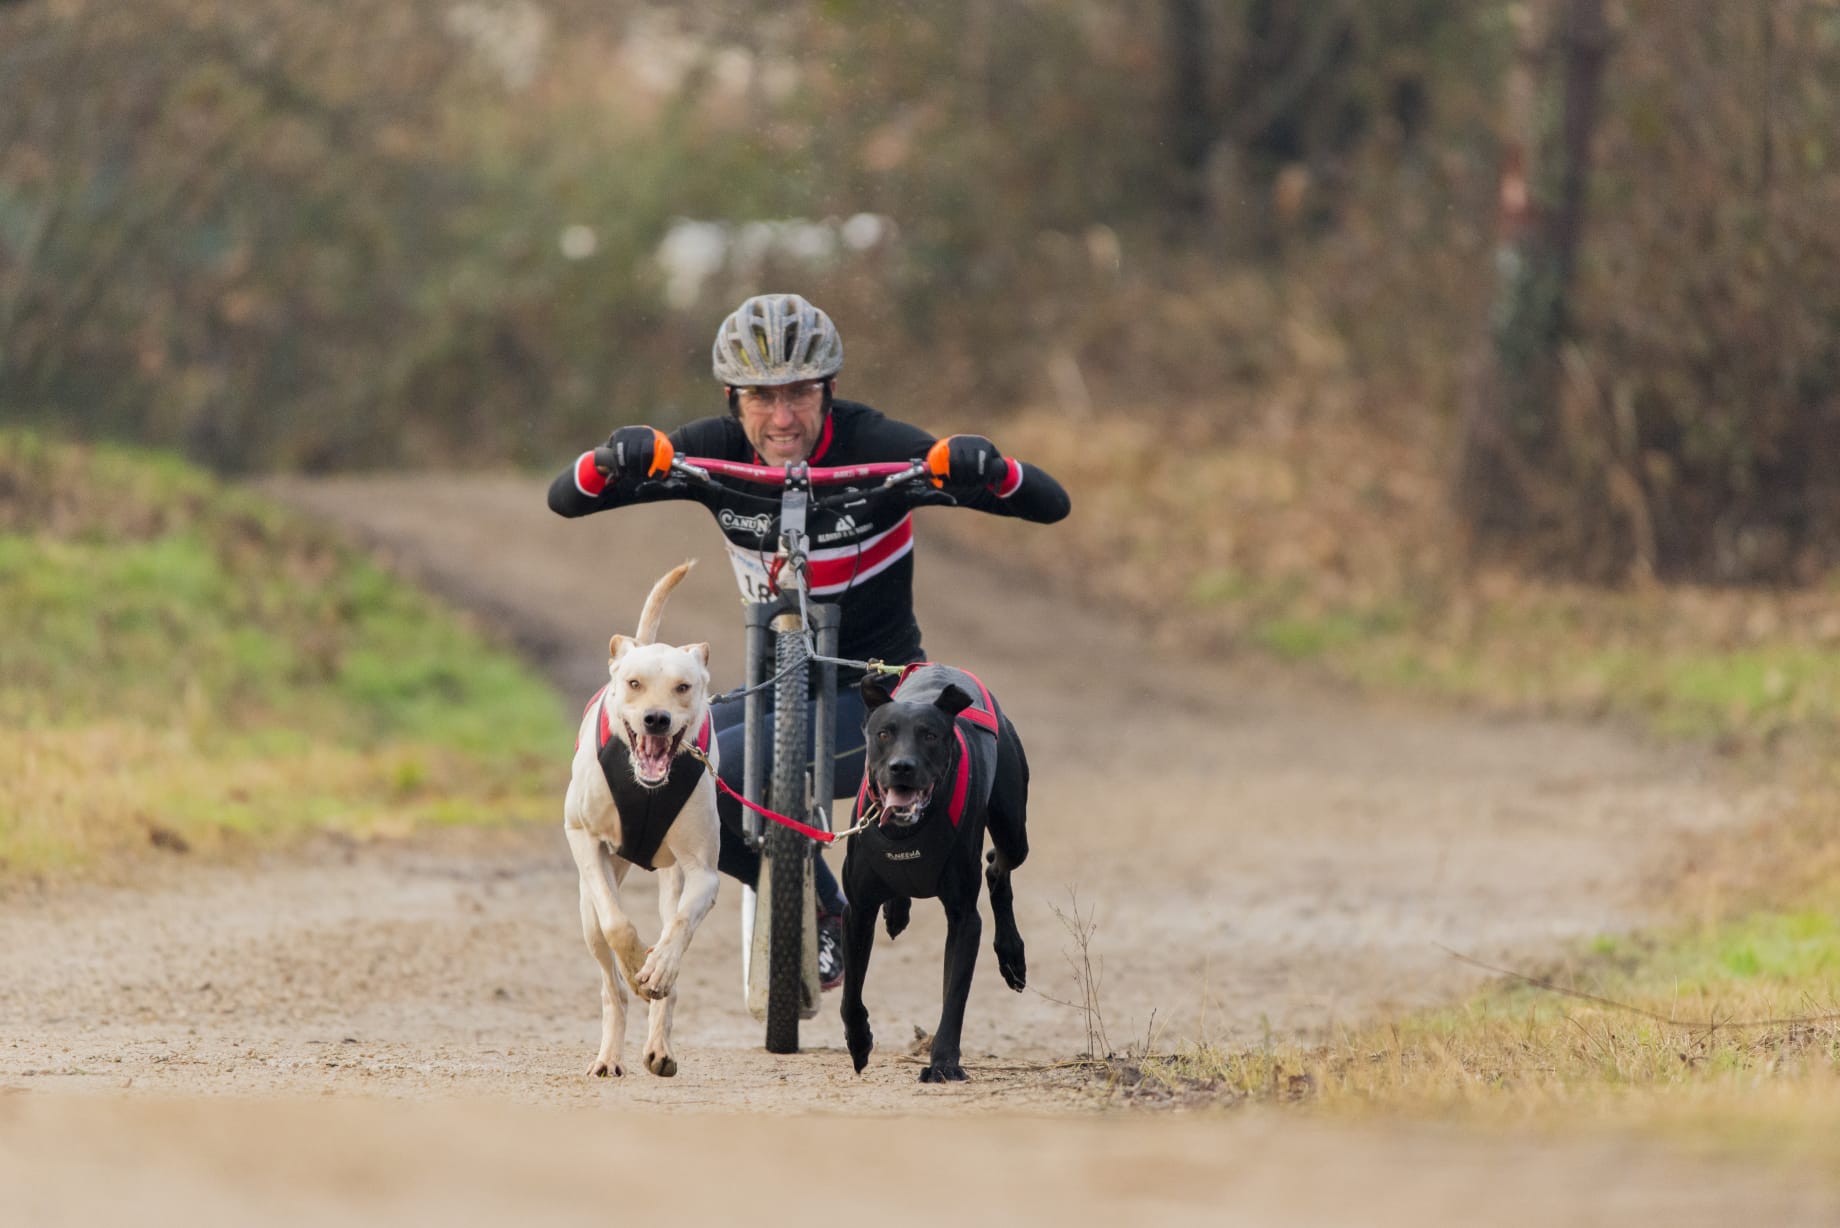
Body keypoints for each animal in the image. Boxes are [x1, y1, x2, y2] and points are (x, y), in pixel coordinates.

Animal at [562, 561, 720, 1079]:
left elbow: (680, 927)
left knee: (670, 948)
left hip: (672, 878)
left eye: (684, 687)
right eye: (634, 684)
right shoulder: (584, 838)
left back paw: (659, 1045)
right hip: (587, 908)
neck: (647, 788)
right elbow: (618, 925)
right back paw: (610, 1053)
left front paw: (658, 967)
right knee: (611, 987)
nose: (656, 719)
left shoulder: (703, 872)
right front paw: (634, 963)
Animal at [839, 663, 1030, 1082]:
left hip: (1013, 829)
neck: (906, 831)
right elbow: (851, 993)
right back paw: (897, 910)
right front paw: (859, 1042)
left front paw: (943, 1063)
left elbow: (954, 995)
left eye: (929, 735)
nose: (902, 767)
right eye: (884, 733)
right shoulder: (857, 910)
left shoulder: (964, 918)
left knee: (997, 867)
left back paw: (1011, 953)